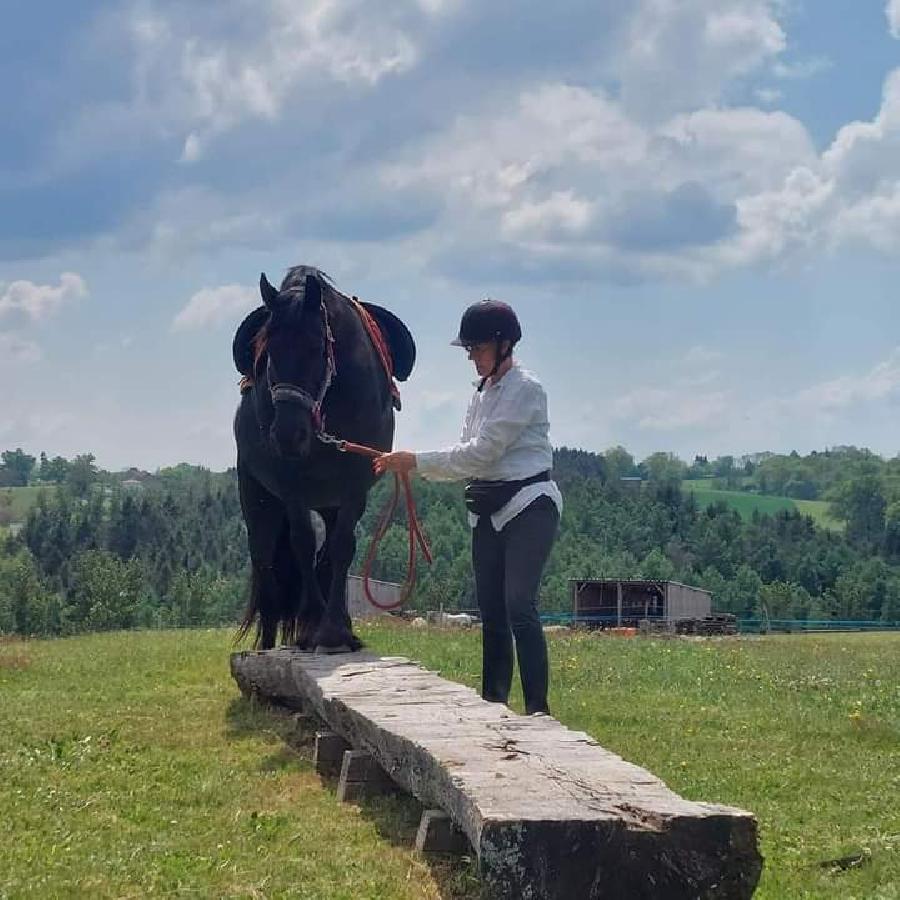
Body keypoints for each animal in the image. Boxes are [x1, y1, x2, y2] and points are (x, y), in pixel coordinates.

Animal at [232, 264, 414, 652]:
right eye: (267, 350)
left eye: (316, 348)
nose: (288, 435)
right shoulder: (290, 483)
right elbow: (302, 541)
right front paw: (312, 627)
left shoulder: (354, 481)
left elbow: (342, 546)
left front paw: (335, 631)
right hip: (258, 500)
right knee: (266, 566)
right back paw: (268, 644)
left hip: (330, 502)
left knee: (329, 553)